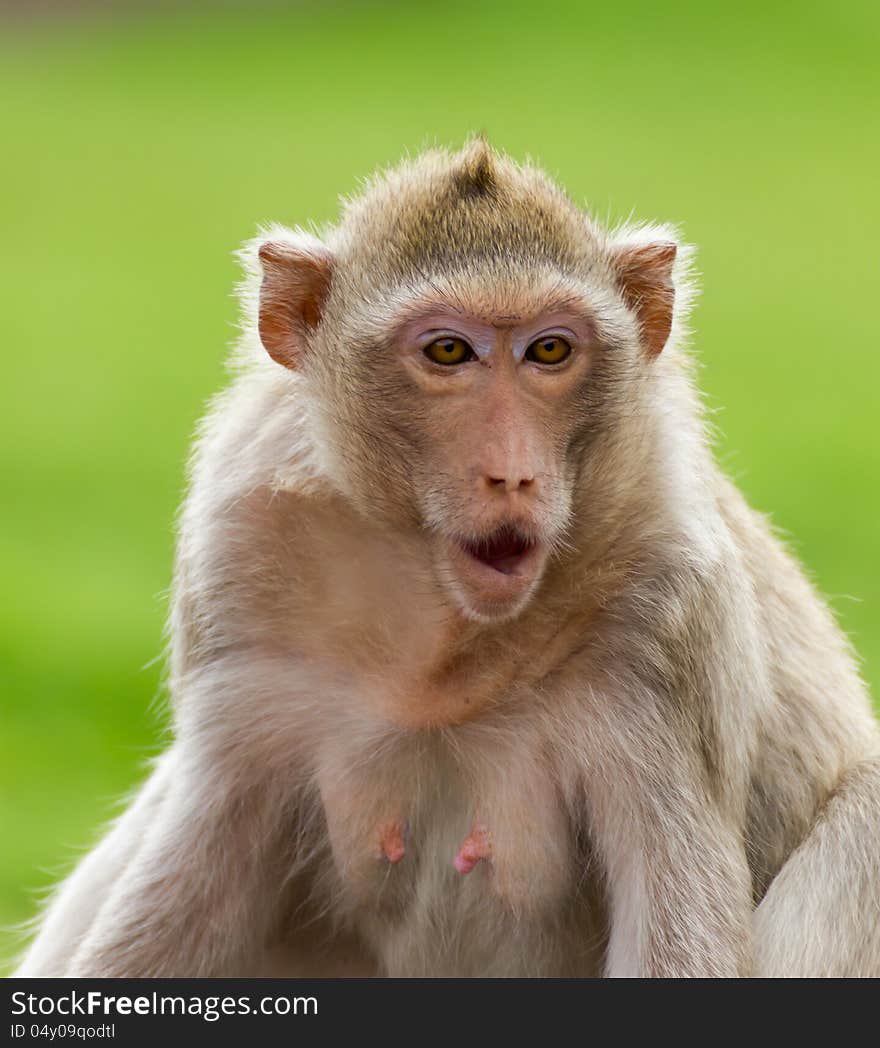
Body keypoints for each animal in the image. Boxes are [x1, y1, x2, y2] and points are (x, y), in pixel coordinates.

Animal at [12, 137, 880, 972]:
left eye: (550, 350)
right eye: (449, 353)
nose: (513, 473)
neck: (445, 635)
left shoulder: (670, 622)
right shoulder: (237, 572)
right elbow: (189, 881)